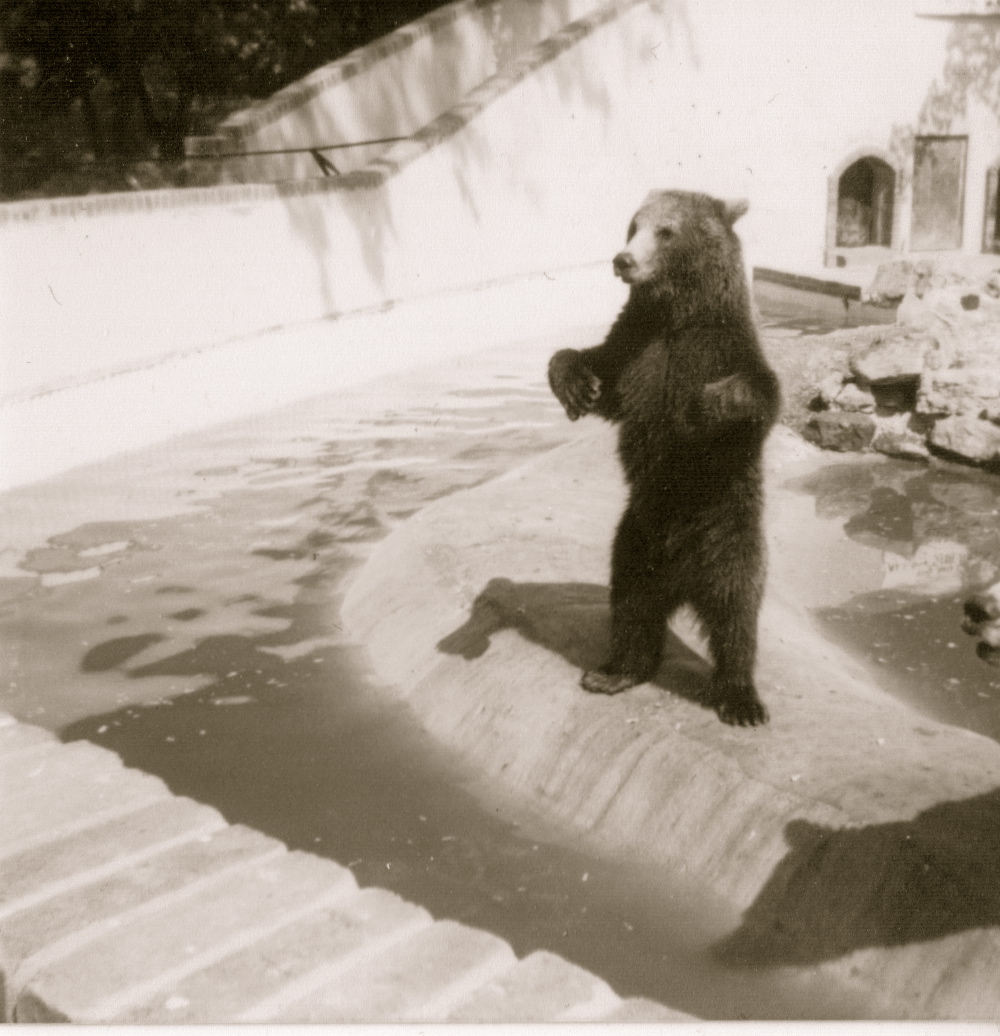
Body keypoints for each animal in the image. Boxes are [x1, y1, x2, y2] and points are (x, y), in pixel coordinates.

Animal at [547, 190, 781, 726]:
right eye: (633, 225)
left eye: (666, 231)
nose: (623, 259)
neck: (676, 316)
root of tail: (682, 582)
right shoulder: (636, 348)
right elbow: (600, 371)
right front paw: (576, 384)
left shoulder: (720, 348)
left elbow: (758, 396)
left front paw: (708, 404)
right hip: (636, 537)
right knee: (631, 601)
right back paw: (616, 671)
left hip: (726, 530)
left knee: (737, 608)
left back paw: (740, 698)